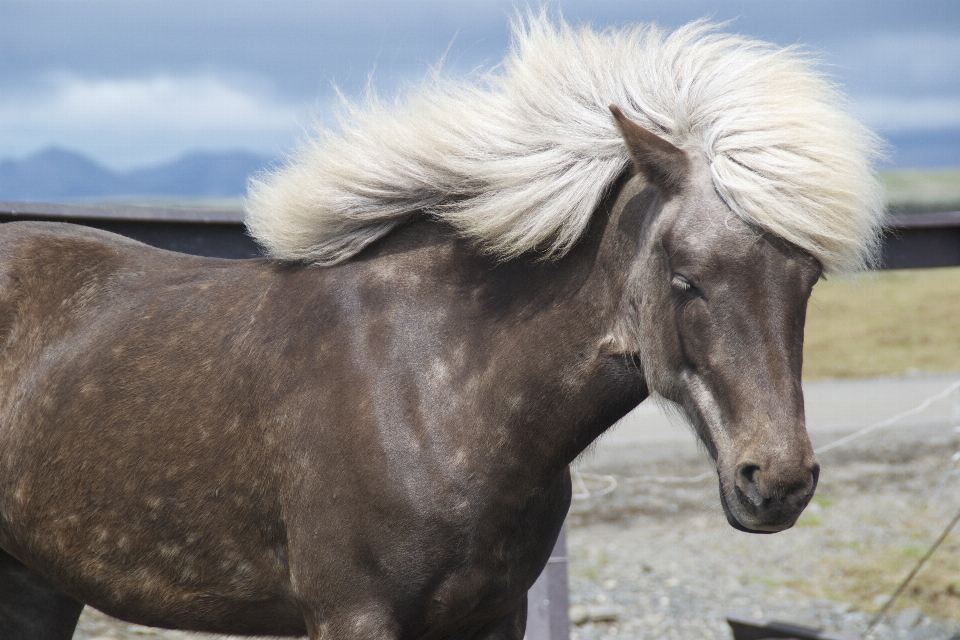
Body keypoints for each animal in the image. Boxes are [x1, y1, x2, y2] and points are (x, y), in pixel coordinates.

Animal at [0, 15, 884, 640]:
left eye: (807, 280)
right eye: (684, 278)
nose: (777, 481)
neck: (435, 393)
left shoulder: (493, 615)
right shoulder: (353, 617)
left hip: (38, 585)